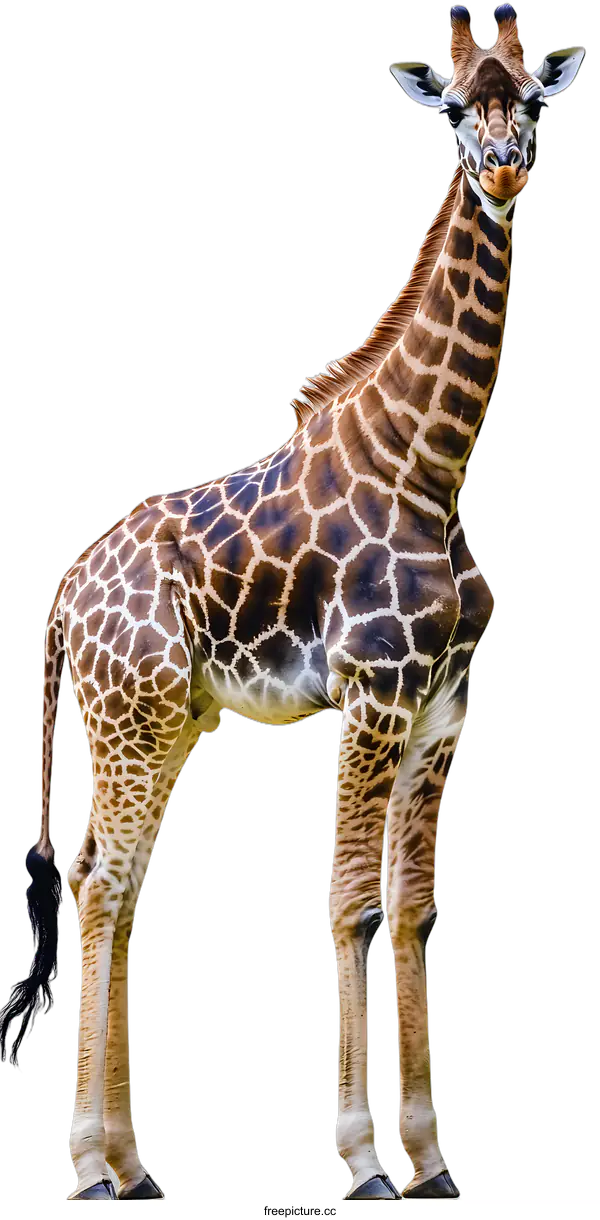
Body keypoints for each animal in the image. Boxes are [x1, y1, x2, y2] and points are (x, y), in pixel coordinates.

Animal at [0, 4, 586, 1202]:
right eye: (455, 111)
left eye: (533, 103)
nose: (504, 166)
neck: (433, 458)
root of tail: (62, 598)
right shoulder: (372, 691)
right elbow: (351, 900)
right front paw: (364, 1160)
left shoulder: (443, 707)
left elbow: (412, 910)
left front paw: (432, 1159)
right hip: (129, 722)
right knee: (97, 886)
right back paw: (90, 1171)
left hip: (166, 722)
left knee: (111, 883)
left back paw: (133, 1165)